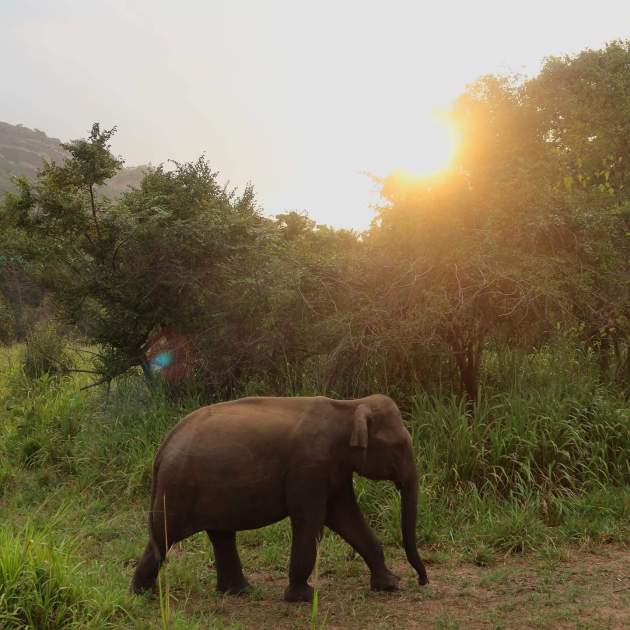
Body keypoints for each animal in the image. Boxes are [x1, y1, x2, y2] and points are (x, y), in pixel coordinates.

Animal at [133, 396, 430, 604]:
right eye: (399, 447)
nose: (422, 581)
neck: (348, 406)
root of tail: (163, 447)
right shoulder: (309, 467)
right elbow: (311, 521)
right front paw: (304, 597)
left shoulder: (334, 469)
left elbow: (346, 517)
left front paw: (390, 584)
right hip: (178, 488)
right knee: (165, 535)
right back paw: (144, 595)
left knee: (219, 534)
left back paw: (237, 592)